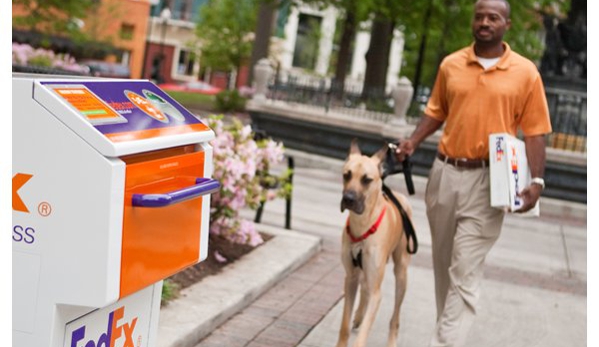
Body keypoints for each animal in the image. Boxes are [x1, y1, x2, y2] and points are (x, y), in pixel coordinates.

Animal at [336, 141, 414, 347]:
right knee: (365, 287)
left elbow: (362, 337)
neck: (362, 225)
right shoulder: (350, 279)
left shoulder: (377, 294)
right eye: (346, 175)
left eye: (367, 180)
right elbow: (344, 326)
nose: (348, 199)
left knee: (395, 316)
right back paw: (359, 315)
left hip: (401, 273)